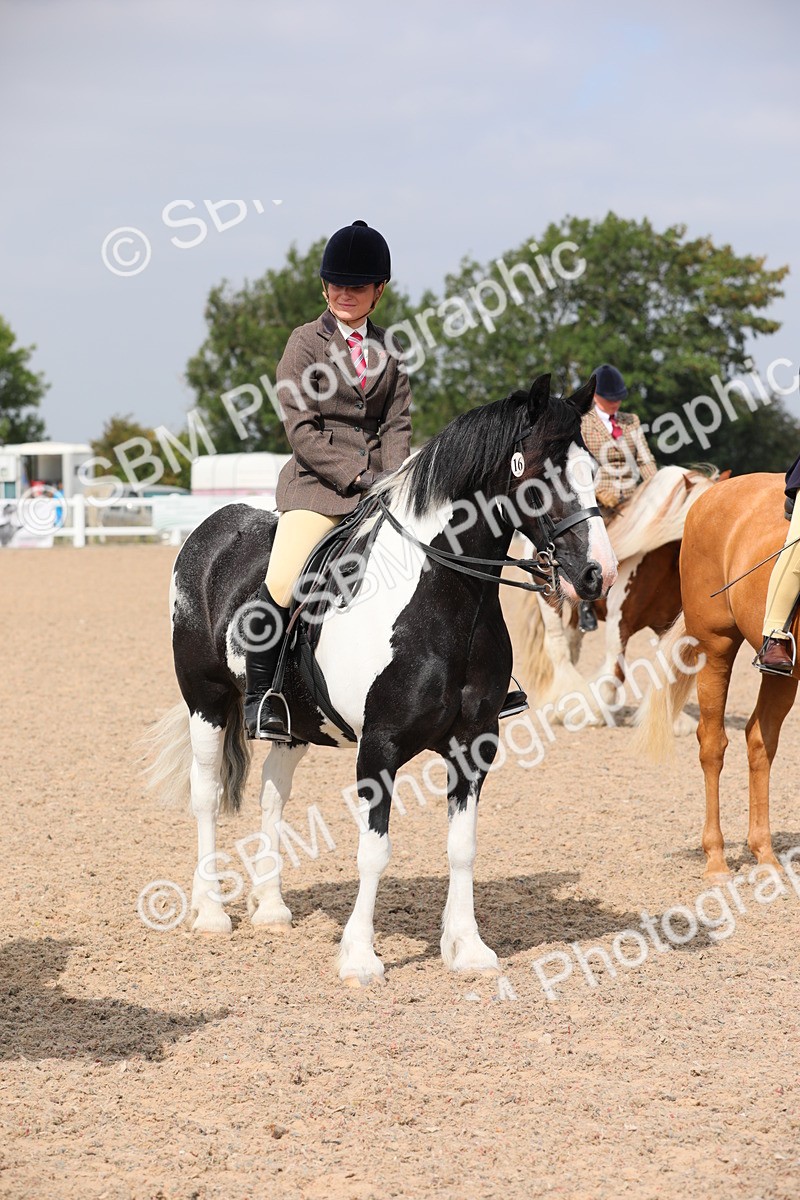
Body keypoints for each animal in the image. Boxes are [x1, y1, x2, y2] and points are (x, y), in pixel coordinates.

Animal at [145, 373, 617, 985]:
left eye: (591, 470)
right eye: (540, 475)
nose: (599, 573)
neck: (443, 596)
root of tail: (210, 530)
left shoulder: (474, 745)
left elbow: (462, 846)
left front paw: (467, 949)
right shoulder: (380, 746)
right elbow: (375, 850)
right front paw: (360, 957)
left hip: (291, 722)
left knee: (273, 795)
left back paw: (271, 908)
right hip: (205, 699)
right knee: (205, 794)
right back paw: (209, 912)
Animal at [505, 467, 723, 728]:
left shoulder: (665, 625)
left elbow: (667, 667)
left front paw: (676, 721)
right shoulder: (619, 623)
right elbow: (615, 669)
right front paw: (593, 712)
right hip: (549, 601)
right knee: (558, 646)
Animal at [635, 472, 797, 880]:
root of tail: (715, 490)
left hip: (782, 675)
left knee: (759, 740)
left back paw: (765, 855)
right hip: (716, 648)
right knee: (712, 745)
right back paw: (717, 860)